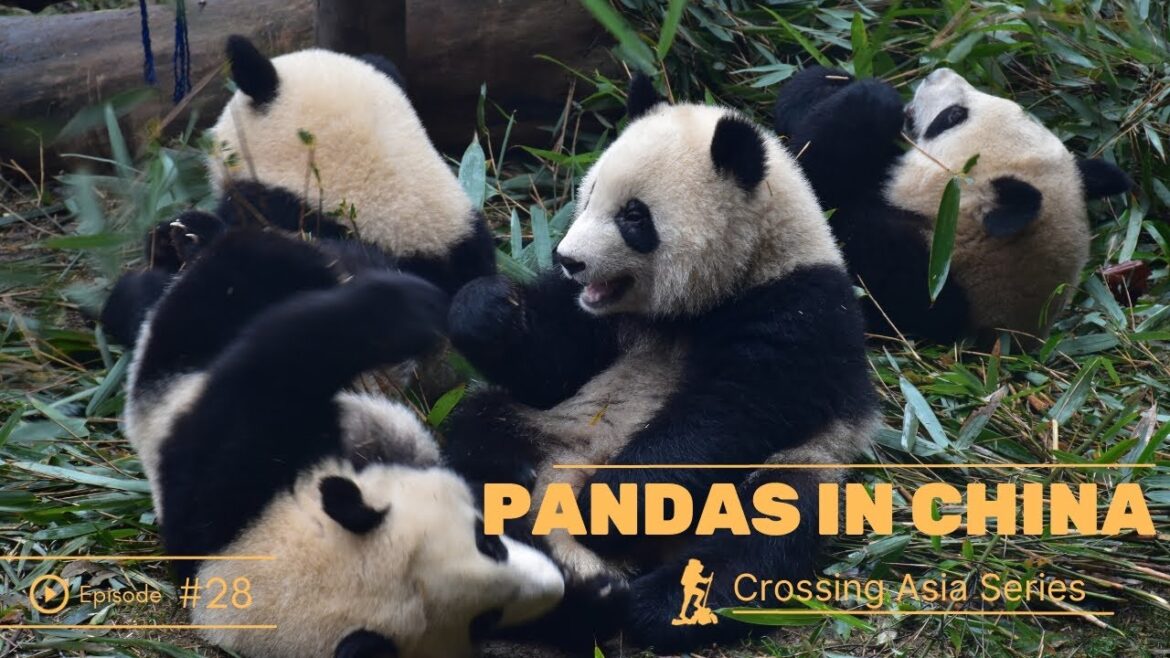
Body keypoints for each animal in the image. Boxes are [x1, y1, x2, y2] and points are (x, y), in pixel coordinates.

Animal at [442, 76, 877, 652]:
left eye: (634, 216)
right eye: (589, 194)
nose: (568, 259)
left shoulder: (799, 309)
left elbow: (726, 414)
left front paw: (606, 509)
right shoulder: (595, 321)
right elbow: (549, 368)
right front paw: (487, 309)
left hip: (799, 465)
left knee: (762, 528)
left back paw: (645, 602)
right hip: (544, 429)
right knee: (476, 438)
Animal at [773, 66, 1132, 344]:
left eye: (953, 117)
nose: (937, 73)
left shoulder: (893, 273)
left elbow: (814, 179)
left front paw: (874, 99)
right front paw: (831, 80)